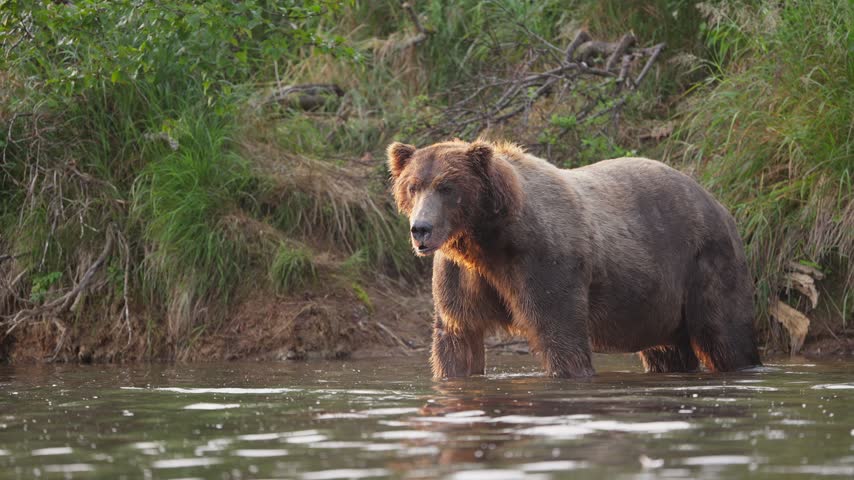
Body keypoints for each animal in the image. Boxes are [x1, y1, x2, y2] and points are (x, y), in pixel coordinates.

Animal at [386, 139, 762, 379]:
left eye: (447, 187)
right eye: (413, 186)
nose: (421, 229)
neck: (485, 240)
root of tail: (717, 202)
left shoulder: (544, 263)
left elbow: (561, 337)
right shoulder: (463, 276)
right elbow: (456, 337)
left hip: (704, 262)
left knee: (726, 335)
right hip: (658, 304)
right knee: (668, 351)